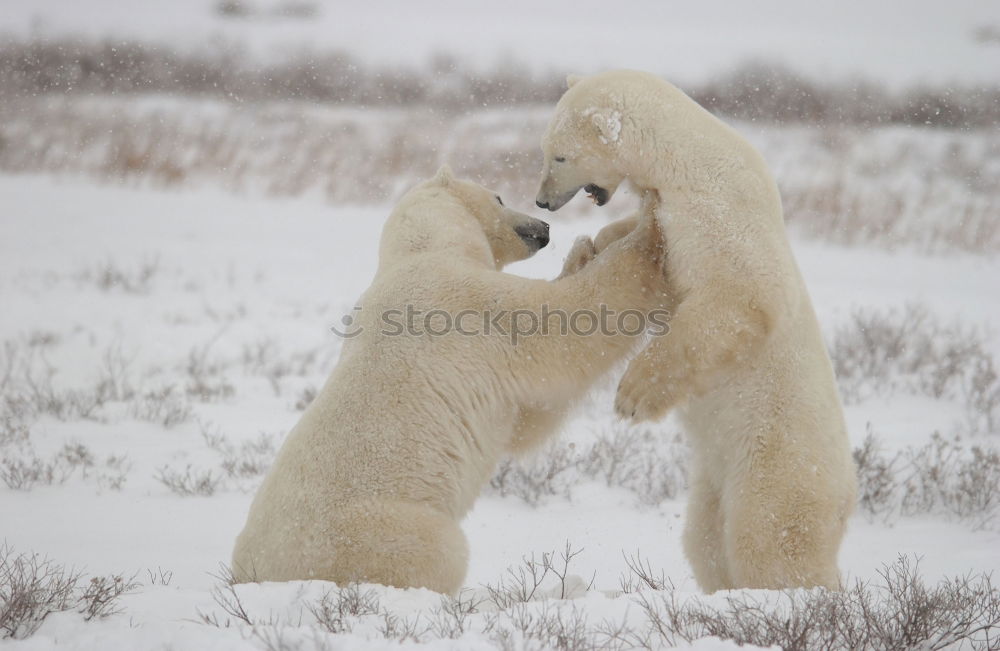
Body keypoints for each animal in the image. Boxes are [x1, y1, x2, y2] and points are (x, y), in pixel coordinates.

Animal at [232, 166, 672, 592]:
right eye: (499, 197)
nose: (544, 226)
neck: (425, 249)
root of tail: (249, 573)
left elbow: (527, 419)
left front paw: (584, 250)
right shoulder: (465, 304)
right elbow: (564, 328)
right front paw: (646, 227)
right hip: (373, 533)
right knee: (439, 552)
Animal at [536, 70, 856, 592]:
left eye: (559, 156)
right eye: (546, 149)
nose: (542, 200)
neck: (686, 159)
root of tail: (849, 493)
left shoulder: (718, 216)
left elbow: (739, 296)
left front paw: (633, 395)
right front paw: (591, 246)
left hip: (778, 464)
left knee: (768, 541)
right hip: (715, 475)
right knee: (705, 540)